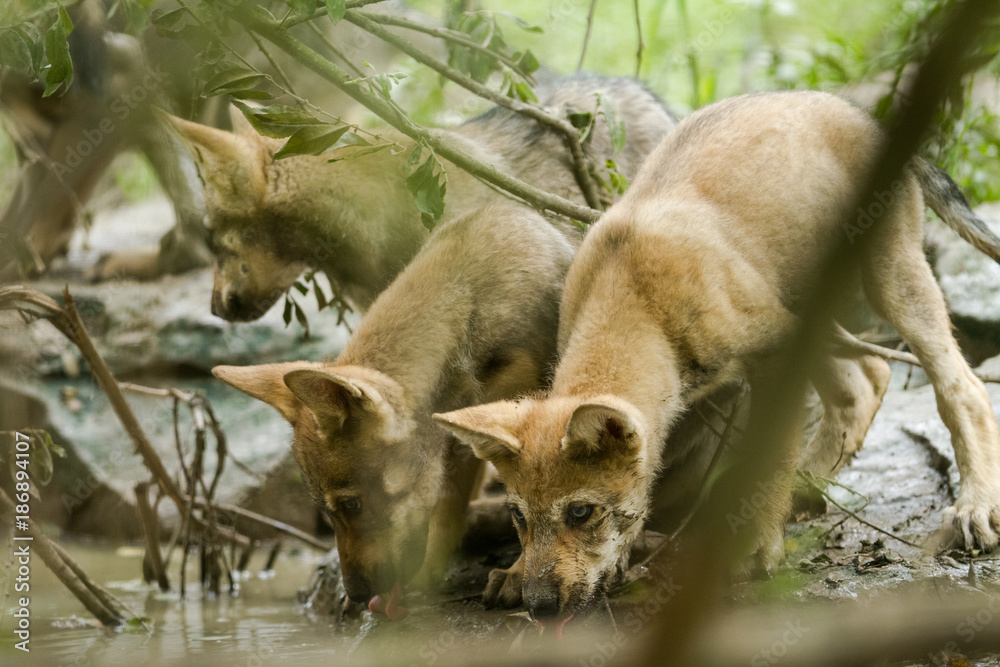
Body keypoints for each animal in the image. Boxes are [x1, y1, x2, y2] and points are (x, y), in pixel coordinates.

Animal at [212, 200, 577, 616]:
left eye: (352, 504)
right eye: (327, 512)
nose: (355, 594)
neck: (469, 309)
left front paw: (517, 573)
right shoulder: (460, 440)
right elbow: (447, 506)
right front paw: (431, 572)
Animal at [434, 90, 1000, 620]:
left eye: (580, 513)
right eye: (518, 517)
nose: (540, 607)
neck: (634, 295)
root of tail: (869, 118)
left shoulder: (773, 356)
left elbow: (767, 458)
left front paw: (755, 546)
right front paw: (517, 570)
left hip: (891, 280)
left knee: (961, 387)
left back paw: (972, 507)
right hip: (810, 306)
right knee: (866, 376)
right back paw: (810, 485)